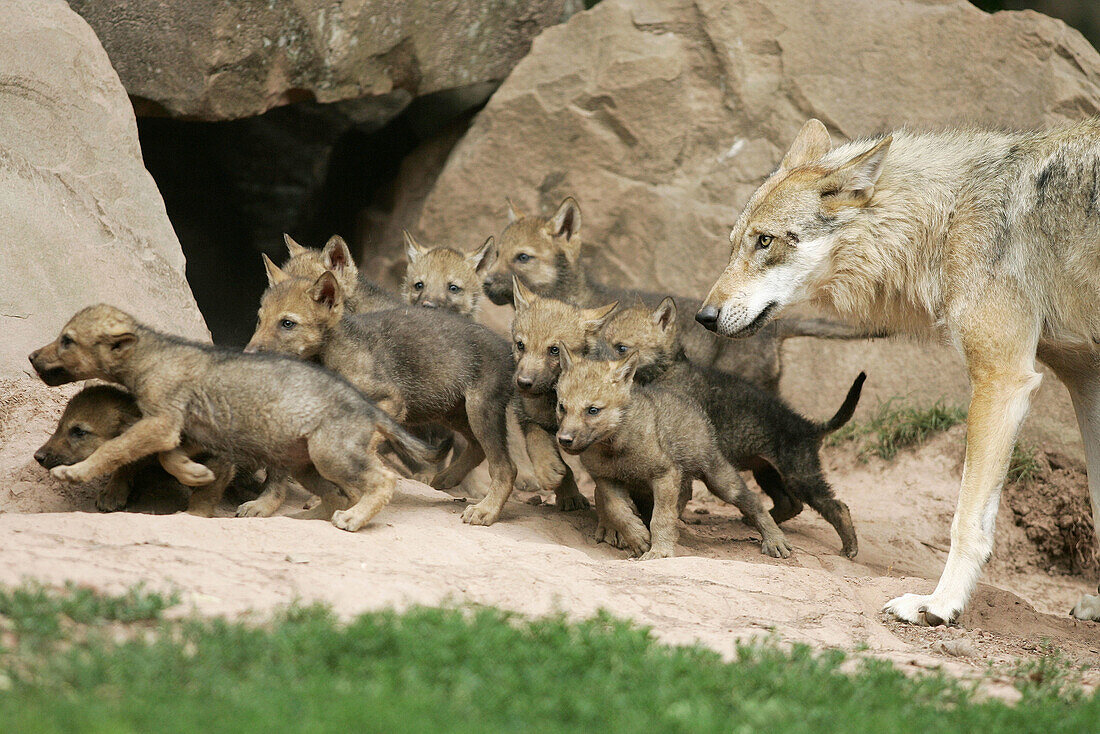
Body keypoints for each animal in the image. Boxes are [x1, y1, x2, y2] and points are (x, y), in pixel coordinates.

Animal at [695, 117, 1100, 625]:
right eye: (734, 246)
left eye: (764, 241)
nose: (704, 317)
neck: (950, 215)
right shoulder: (1085, 381)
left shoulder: (1002, 378)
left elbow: (966, 520)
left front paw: (940, 604)